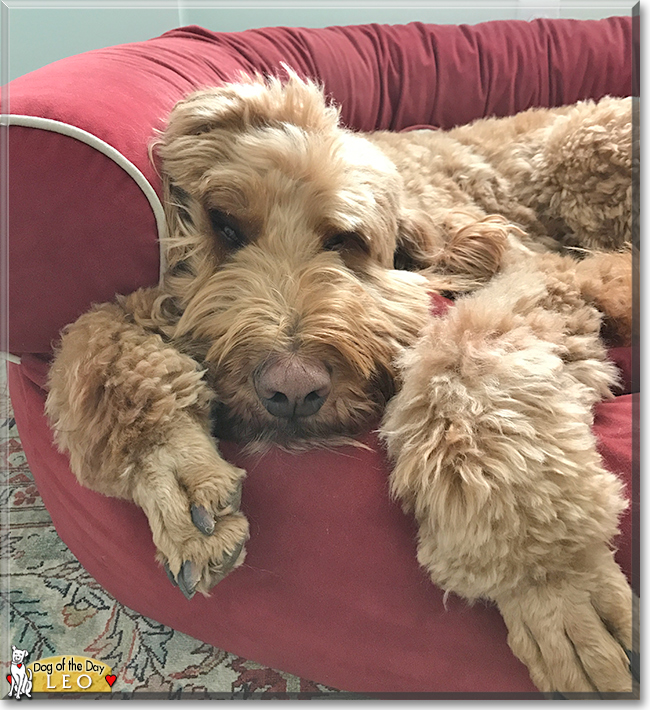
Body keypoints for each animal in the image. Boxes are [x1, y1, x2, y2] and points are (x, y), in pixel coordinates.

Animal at [46, 72, 632, 696]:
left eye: (345, 240)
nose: (291, 391)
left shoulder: (532, 270)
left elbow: (475, 359)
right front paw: (174, 473)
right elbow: (95, 344)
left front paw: (551, 581)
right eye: (224, 225)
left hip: (585, 144)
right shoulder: (149, 308)